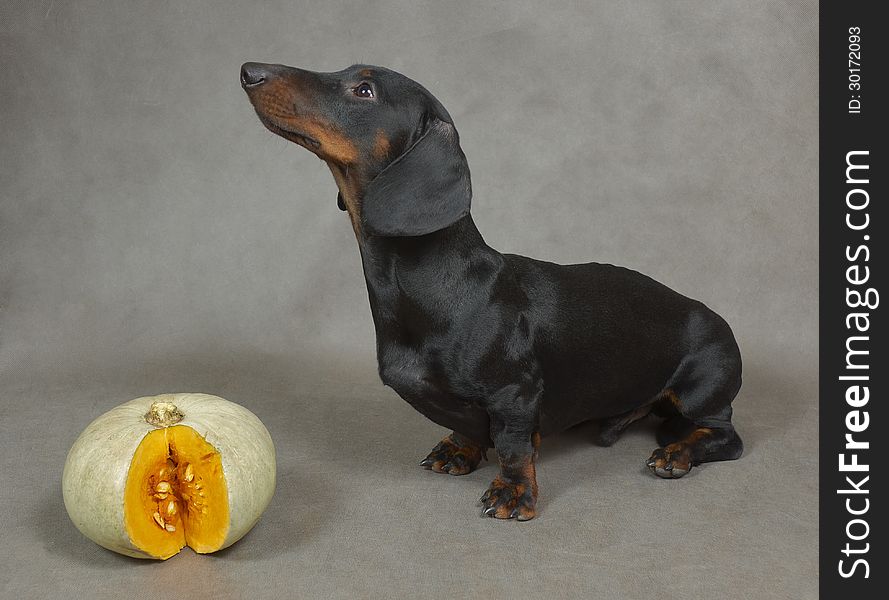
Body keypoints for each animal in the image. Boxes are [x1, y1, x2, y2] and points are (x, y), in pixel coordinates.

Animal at [241, 62, 744, 520]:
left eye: (364, 90)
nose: (249, 71)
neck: (438, 285)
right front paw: (460, 448)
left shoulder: (514, 394)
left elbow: (514, 445)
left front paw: (514, 492)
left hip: (703, 386)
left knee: (725, 436)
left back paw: (677, 453)